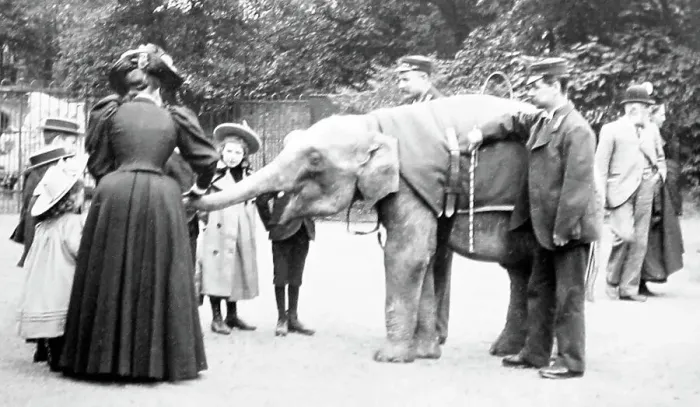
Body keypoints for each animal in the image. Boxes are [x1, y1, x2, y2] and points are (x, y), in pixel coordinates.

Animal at [189, 94, 540, 363]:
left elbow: (407, 255)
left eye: (314, 159)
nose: (192, 194)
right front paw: (424, 355)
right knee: (518, 271)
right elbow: (425, 258)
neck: (375, 126)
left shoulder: (408, 185)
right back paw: (504, 351)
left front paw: (389, 358)